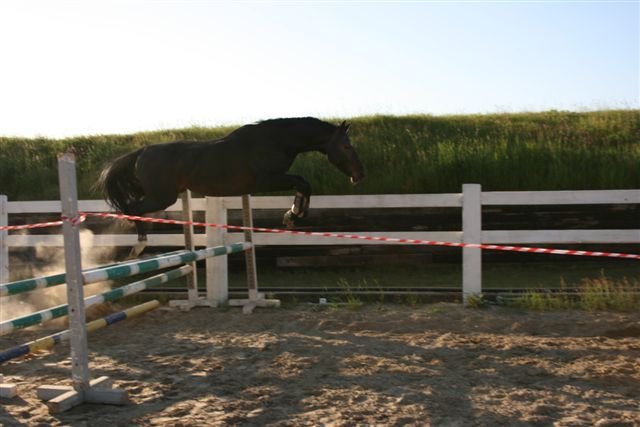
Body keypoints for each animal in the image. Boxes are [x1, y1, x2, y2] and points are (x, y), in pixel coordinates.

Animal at [95, 117, 364, 251]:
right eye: (346, 146)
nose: (359, 175)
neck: (275, 141)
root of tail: (142, 151)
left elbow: (303, 185)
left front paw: (293, 216)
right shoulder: (266, 180)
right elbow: (303, 183)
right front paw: (293, 214)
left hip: (163, 195)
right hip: (162, 196)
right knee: (133, 209)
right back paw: (140, 243)